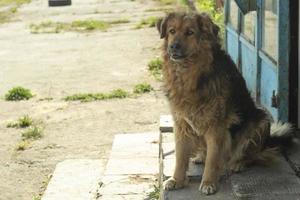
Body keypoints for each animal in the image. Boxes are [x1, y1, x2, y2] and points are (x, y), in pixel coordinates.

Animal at [156, 11, 292, 195]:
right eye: (171, 31)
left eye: (190, 32)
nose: (173, 47)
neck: (190, 72)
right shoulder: (181, 123)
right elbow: (180, 156)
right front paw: (177, 179)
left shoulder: (217, 125)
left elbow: (213, 159)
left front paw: (208, 182)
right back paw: (200, 156)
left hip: (261, 121)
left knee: (251, 155)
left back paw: (238, 163)